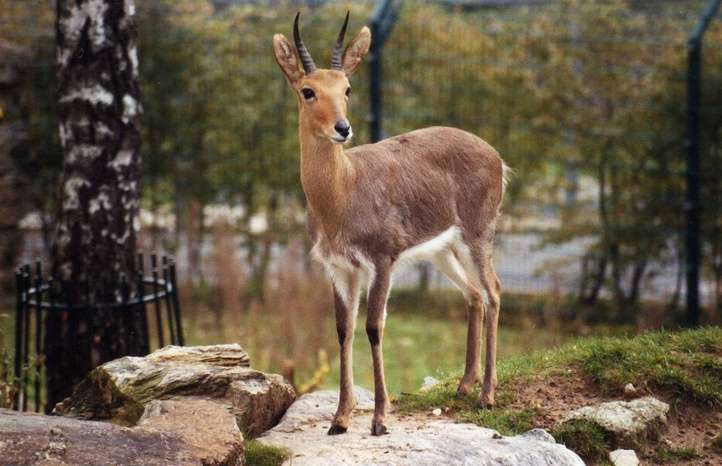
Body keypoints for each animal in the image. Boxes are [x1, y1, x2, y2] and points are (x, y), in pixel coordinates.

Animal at [272, 13, 510, 436]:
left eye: (348, 88)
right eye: (307, 91)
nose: (343, 128)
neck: (343, 194)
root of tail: (496, 155)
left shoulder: (383, 261)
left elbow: (373, 327)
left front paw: (380, 418)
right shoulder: (339, 268)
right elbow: (343, 329)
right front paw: (340, 418)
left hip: (478, 236)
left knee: (494, 291)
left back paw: (486, 395)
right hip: (444, 250)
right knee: (474, 295)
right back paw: (464, 386)